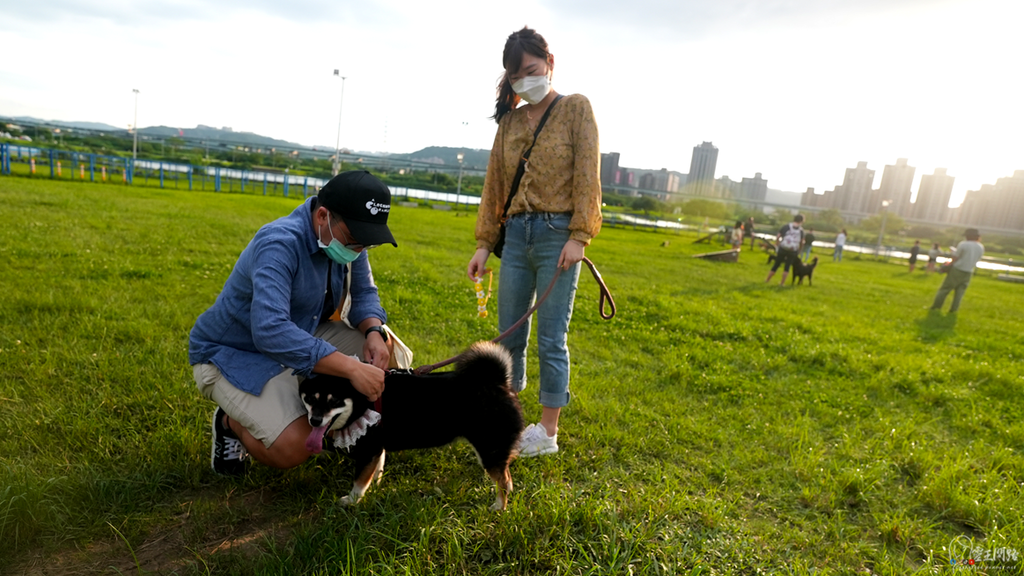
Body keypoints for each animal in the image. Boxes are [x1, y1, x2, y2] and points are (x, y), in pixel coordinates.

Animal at [296, 338, 520, 508]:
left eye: (334, 401)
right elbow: (377, 469)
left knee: (503, 480)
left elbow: (359, 480)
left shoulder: (368, 451)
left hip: (489, 449)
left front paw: (351, 500)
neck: (363, 400)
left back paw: (499, 506)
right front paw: (375, 485)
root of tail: (498, 382)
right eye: (310, 399)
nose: (315, 420)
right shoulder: (377, 448)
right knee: (507, 478)